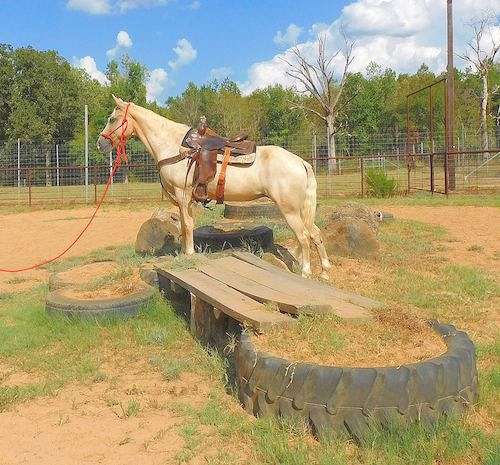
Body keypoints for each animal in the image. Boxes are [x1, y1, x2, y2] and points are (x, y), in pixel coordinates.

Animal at [97, 94, 332, 276]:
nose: (100, 143)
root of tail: (300, 161)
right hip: (298, 210)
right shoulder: (186, 200)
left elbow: (187, 225)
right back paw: (324, 270)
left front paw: (189, 254)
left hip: (289, 209)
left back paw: (306, 271)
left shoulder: (182, 195)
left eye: (112, 118)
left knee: (303, 236)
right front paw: (185, 252)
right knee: (314, 233)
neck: (172, 146)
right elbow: (185, 224)